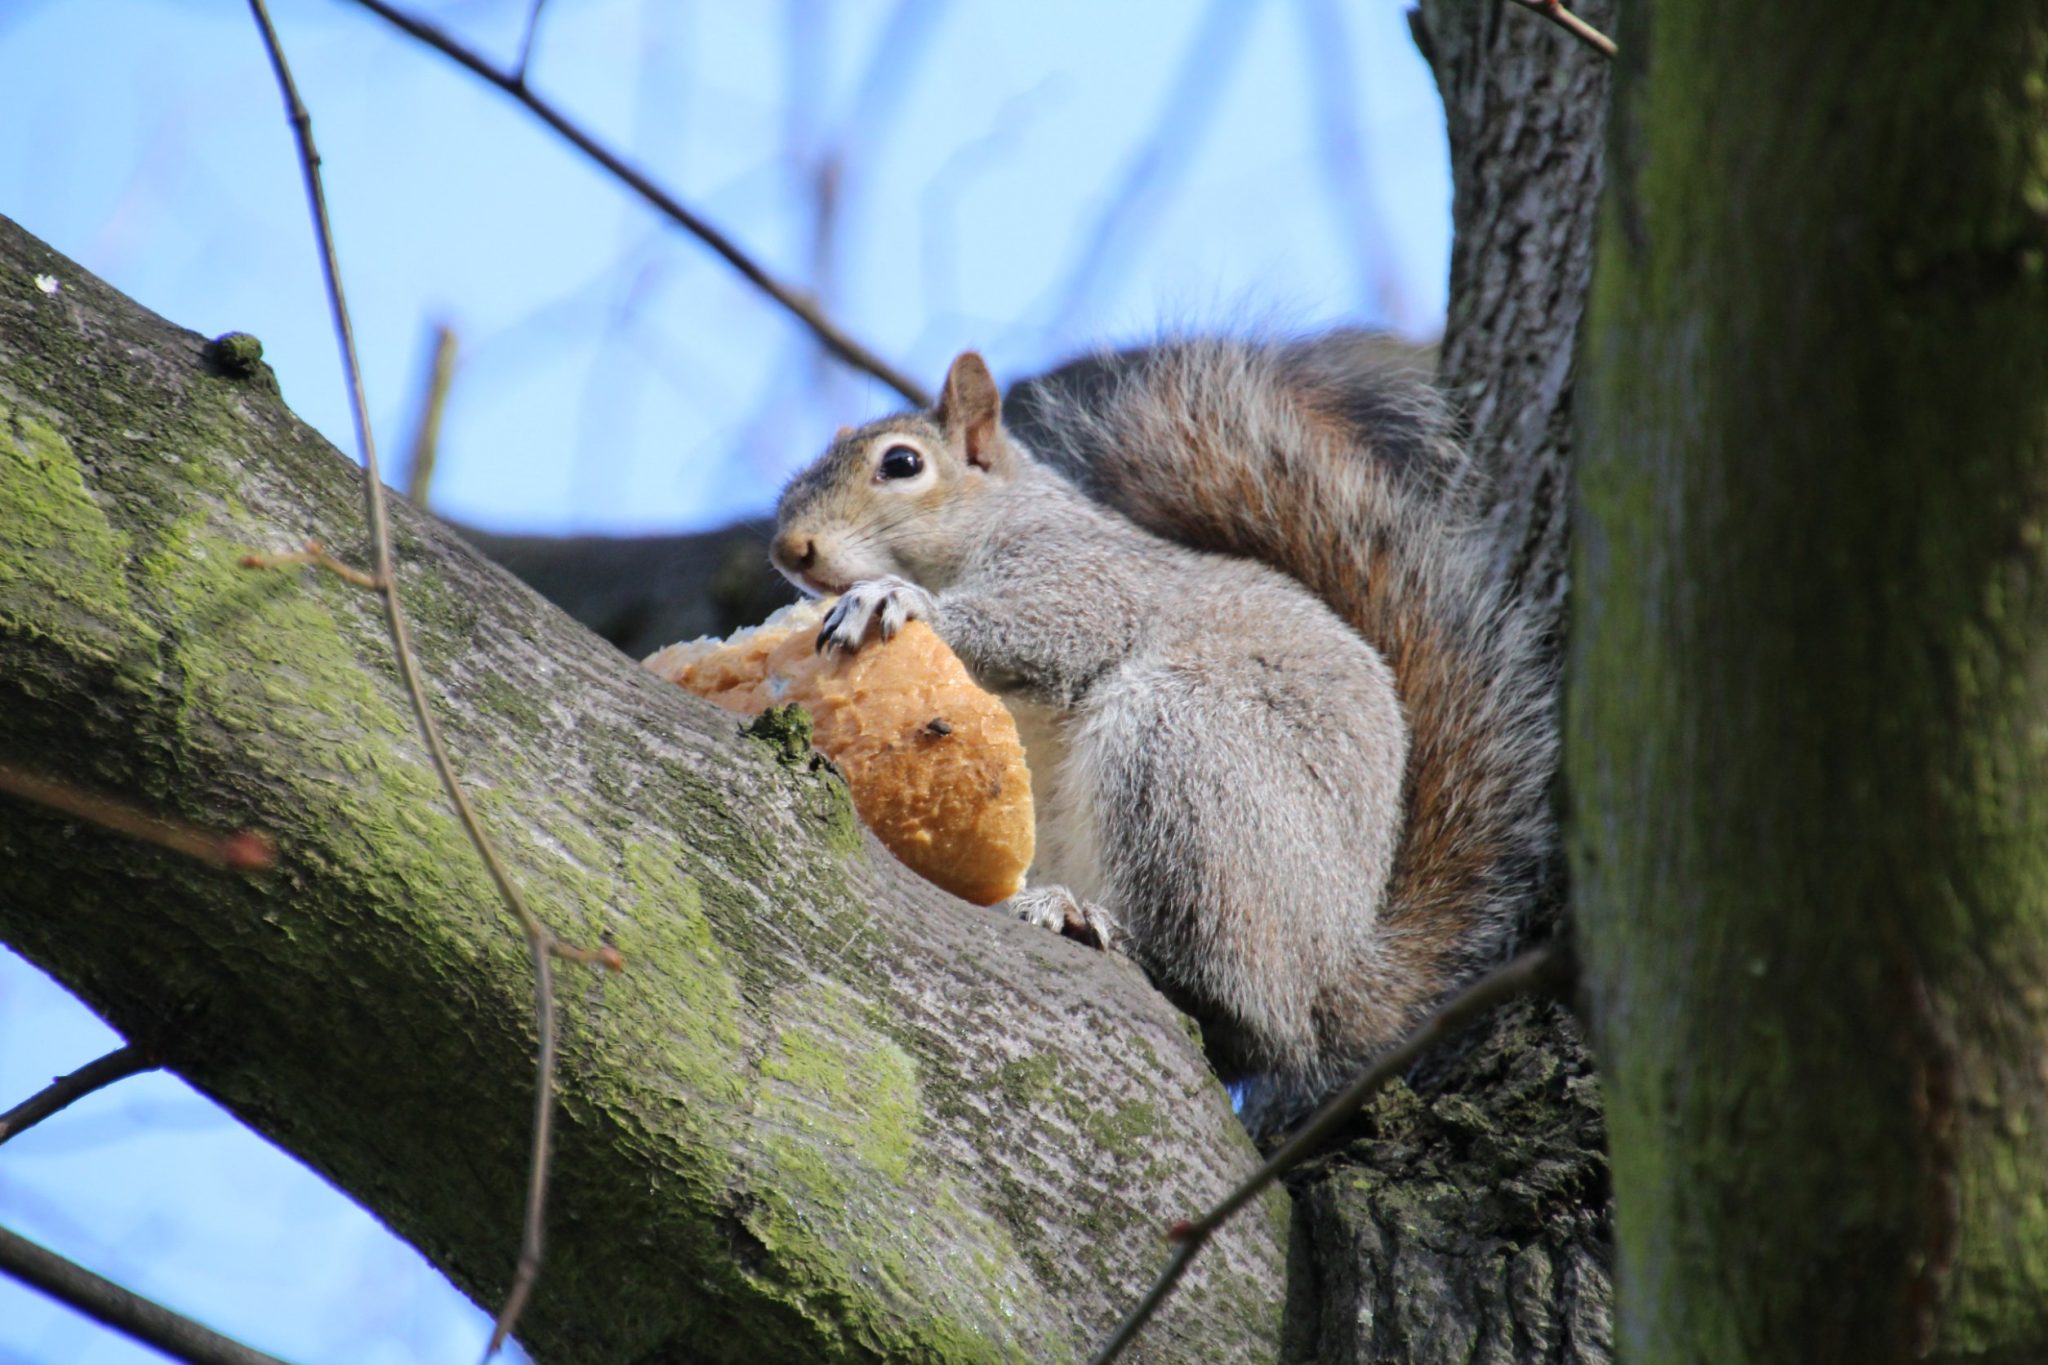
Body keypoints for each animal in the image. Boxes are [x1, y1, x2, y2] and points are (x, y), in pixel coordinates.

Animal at [770, 333, 1548, 1129]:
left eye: (901, 464)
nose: (789, 547)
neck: (993, 520)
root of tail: (1334, 967)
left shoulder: (1085, 575)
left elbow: (1056, 629)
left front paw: (898, 600)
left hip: (1182, 755)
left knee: (1233, 1004)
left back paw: (1111, 933)